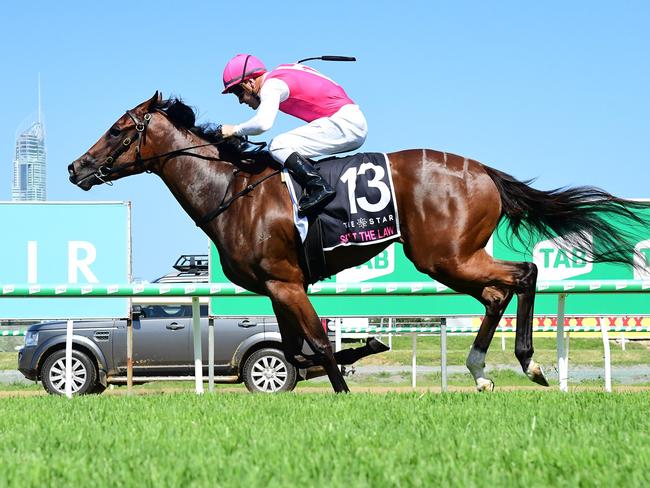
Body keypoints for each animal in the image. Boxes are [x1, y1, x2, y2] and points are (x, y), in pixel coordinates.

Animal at [68, 93, 644, 394]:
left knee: (523, 274)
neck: (232, 189)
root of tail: (483, 171)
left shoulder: (285, 280)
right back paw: (481, 371)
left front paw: (347, 381)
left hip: (444, 255)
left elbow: (318, 347)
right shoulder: (279, 287)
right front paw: (362, 348)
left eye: (118, 129)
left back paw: (527, 362)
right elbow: (294, 353)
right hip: (453, 257)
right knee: (499, 291)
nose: (76, 167)